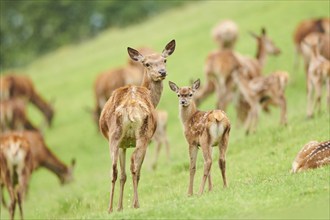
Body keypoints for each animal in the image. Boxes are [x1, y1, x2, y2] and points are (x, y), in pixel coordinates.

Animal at [98, 40, 175, 213]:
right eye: (146, 63)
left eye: (164, 60)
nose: (162, 72)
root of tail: (131, 108)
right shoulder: (134, 142)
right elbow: (135, 172)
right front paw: (126, 205)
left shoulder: (123, 144)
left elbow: (122, 175)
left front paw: (119, 207)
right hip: (143, 136)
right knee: (134, 166)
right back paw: (135, 204)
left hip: (114, 137)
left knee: (114, 170)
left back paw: (110, 209)